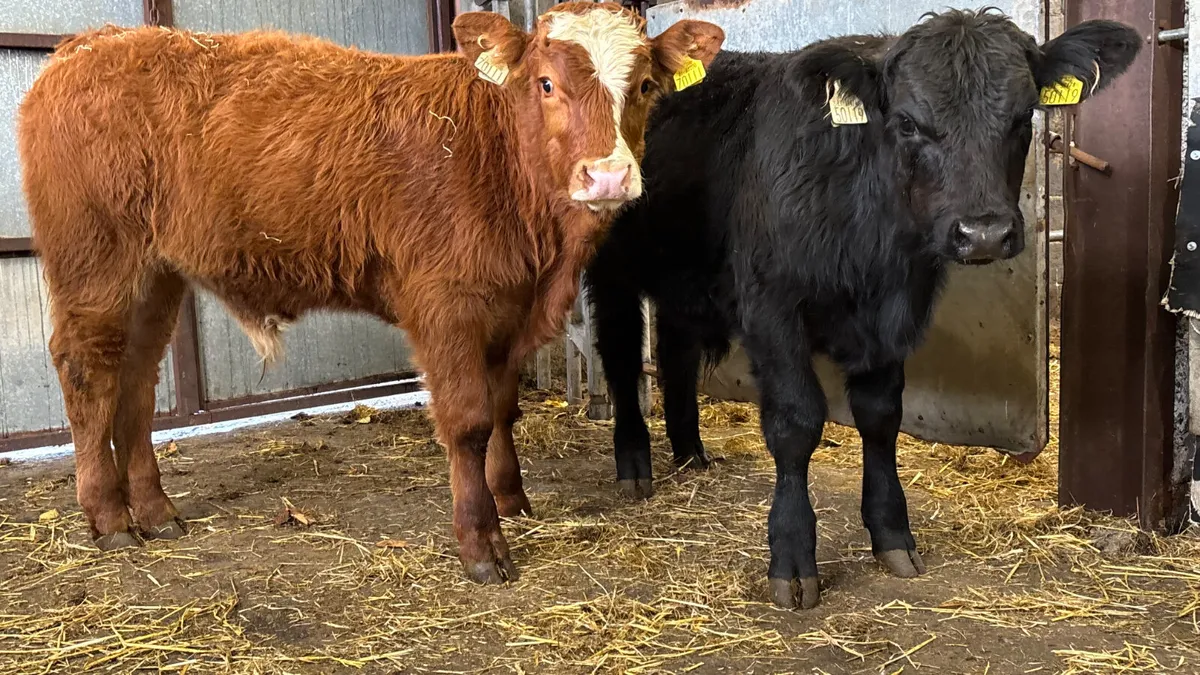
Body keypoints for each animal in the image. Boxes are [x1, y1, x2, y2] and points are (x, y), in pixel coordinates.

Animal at [18, 3, 723, 584]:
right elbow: (468, 421)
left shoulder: (509, 310)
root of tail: (91, 42)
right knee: (87, 371)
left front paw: (512, 499)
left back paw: (156, 509)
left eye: (645, 87)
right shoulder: (447, 306)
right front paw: (481, 544)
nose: (608, 176)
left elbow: (502, 410)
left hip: (155, 273)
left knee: (136, 380)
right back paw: (110, 518)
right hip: (95, 260)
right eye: (546, 83)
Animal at [584, 10, 1140, 609]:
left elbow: (880, 417)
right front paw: (792, 557)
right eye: (908, 123)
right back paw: (634, 463)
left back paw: (690, 452)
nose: (984, 233)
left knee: (675, 354)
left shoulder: (894, 314)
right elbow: (796, 422)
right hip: (611, 269)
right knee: (620, 355)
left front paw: (892, 534)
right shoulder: (771, 308)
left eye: (1022, 117)